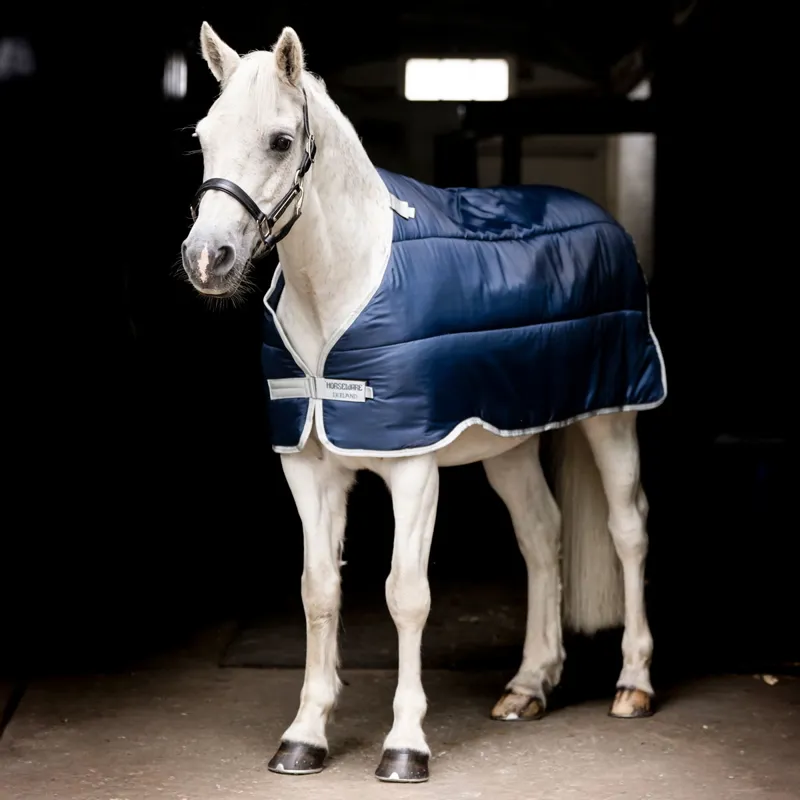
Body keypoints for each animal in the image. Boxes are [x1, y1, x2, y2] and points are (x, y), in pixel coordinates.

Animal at [180, 23, 667, 784]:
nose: (208, 259)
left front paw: (405, 744)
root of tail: (600, 219)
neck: (346, 283)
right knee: (541, 534)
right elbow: (318, 590)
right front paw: (304, 736)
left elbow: (406, 595)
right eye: (204, 136)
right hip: (510, 440)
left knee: (628, 529)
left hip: (612, 417)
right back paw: (528, 686)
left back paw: (633, 685)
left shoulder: (413, 468)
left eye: (281, 142)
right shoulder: (309, 466)